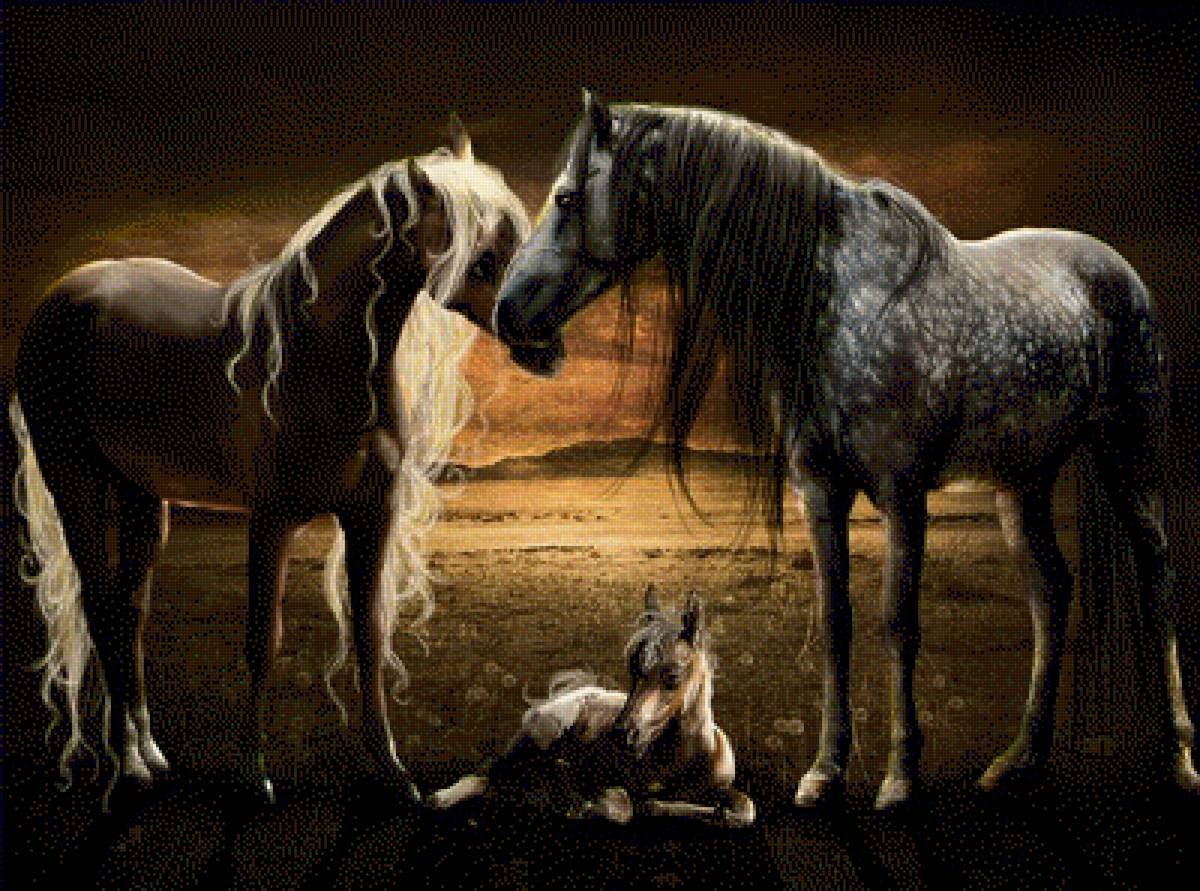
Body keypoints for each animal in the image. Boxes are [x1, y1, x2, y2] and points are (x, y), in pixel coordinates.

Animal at [10, 119, 530, 810]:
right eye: (481, 251)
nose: (537, 332)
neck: (316, 353)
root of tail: (60, 297)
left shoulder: (371, 515)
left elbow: (370, 634)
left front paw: (392, 773)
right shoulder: (271, 519)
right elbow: (263, 641)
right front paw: (253, 775)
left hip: (142, 496)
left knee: (129, 612)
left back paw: (144, 751)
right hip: (78, 484)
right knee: (100, 607)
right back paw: (127, 769)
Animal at [428, 586, 755, 828]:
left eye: (673, 676)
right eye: (632, 669)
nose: (622, 733)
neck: (680, 761)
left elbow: (745, 809)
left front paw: (714, 812)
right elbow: (623, 805)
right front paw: (583, 804)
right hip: (533, 742)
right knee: (482, 776)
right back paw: (441, 798)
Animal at [488, 91, 1199, 810]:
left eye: (567, 197)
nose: (508, 313)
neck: (831, 300)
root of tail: (1116, 270)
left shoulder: (902, 494)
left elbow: (898, 624)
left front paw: (900, 776)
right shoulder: (820, 491)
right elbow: (835, 624)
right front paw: (826, 770)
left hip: (1129, 458)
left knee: (1158, 582)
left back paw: (1177, 758)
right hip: (1021, 481)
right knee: (1050, 592)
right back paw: (1018, 760)